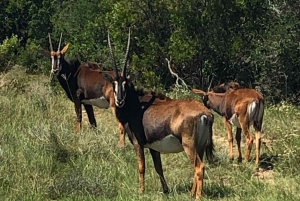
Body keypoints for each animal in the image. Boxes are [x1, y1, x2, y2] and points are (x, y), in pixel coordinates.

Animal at [103, 29, 216, 199]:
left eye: (125, 83)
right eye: (113, 83)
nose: (120, 100)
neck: (137, 105)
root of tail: (206, 114)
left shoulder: (138, 143)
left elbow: (141, 167)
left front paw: (141, 191)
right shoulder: (154, 147)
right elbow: (158, 167)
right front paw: (166, 190)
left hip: (189, 145)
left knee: (199, 167)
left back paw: (197, 196)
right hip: (200, 146)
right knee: (197, 166)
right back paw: (191, 192)